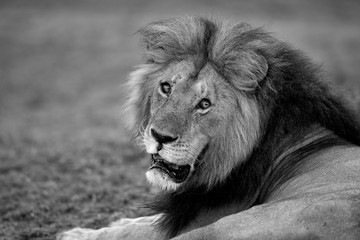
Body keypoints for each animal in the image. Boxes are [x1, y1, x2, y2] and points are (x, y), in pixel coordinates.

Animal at [58, 16, 360, 240]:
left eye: (204, 104)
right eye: (166, 87)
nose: (160, 137)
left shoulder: (201, 217)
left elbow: (138, 232)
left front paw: (77, 234)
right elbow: (143, 221)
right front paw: (114, 222)